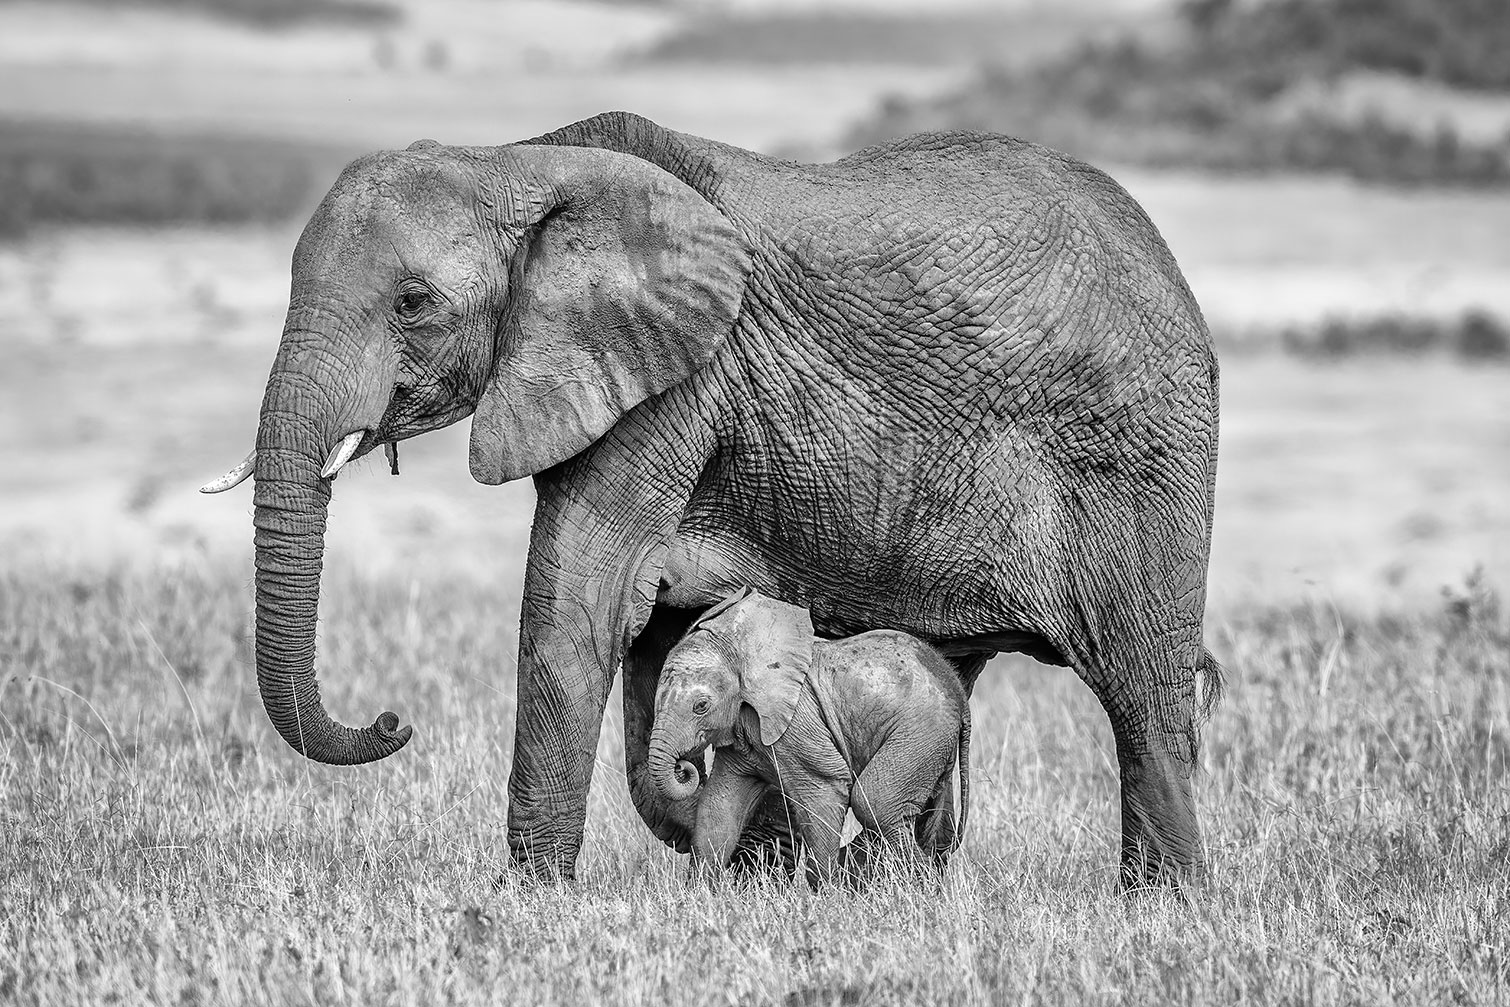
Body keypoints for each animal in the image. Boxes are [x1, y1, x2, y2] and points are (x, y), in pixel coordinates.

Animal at [650, 587, 971, 885]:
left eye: (701, 706)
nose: (683, 767)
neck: (743, 653)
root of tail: (956, 686)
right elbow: (719, 807)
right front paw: (698, 893)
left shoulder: (798, 726)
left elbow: (824, 790)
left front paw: (828, 896)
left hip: (921, 729)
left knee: (875, 801)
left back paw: (921, 884)